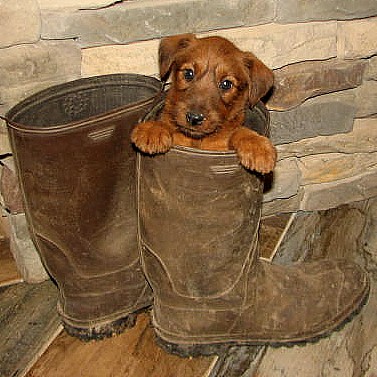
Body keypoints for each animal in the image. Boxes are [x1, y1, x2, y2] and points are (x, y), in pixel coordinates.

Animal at [131, 32, 276, 173]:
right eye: (189, 73)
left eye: (226, 84)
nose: (194, 118)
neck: (197, 141)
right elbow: (167, 123)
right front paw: (152, 129)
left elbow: (239, 131)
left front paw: (257, 146)